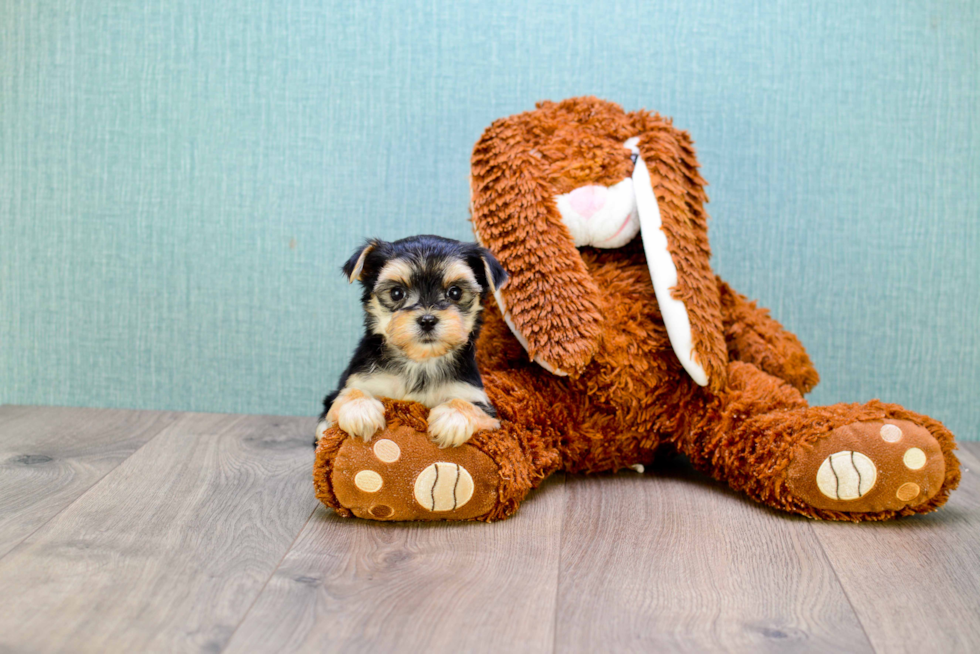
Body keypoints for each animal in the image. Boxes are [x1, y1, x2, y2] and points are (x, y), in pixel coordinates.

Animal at [318, 236, 510, 452]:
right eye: (396, 293)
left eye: (455, 292)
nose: (427, 320)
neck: (420, 362)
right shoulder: (352, 385)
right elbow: (348, 395)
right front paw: (360, 409)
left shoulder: (481, 404)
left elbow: (470, 405)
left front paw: (452, 418)